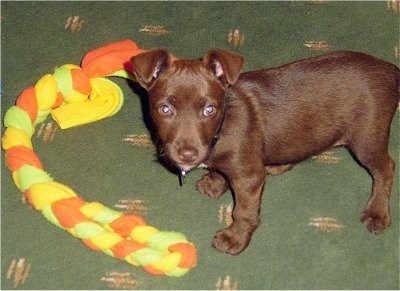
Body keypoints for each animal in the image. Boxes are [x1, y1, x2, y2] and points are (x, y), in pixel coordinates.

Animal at [130, 50, 396, 256]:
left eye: (209, 109)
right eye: (165, 109)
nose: (188, 155)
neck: (223, 126)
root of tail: (390, 69)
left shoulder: (249, 178)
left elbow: (244, 213)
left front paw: (235, 239)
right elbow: (219, 170)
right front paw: (214, 184)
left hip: (366, 139)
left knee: (386, 168)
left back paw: (377, 212)